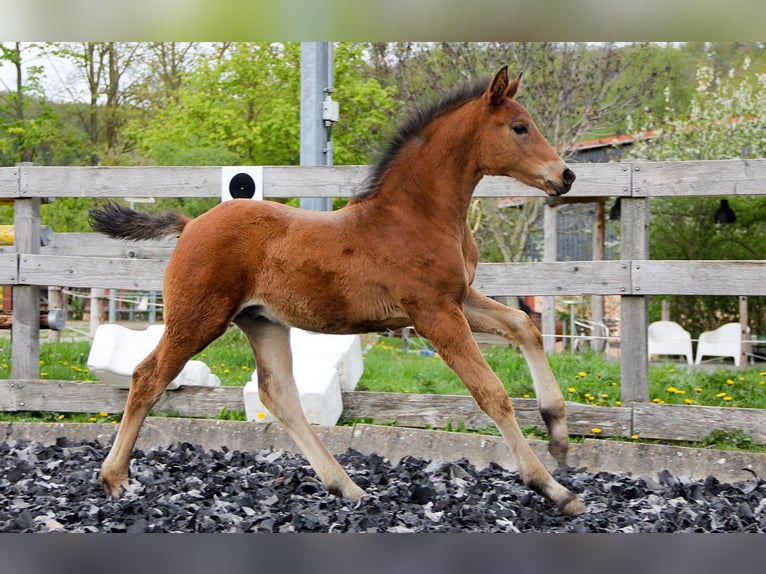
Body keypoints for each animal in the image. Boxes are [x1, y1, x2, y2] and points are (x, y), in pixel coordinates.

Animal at [87, 67, 584, 516]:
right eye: (519, 127)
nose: (565, 175)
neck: (417, 215)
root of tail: (190, 225)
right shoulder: (433, 312)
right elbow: (491, 392)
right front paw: (552, 488)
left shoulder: (459, 299)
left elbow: (523, 326)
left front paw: (559, 435)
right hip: (198, 318)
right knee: (148, 376)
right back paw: (115, 479)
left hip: (262, 322)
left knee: (279, 395)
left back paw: (347, 486)